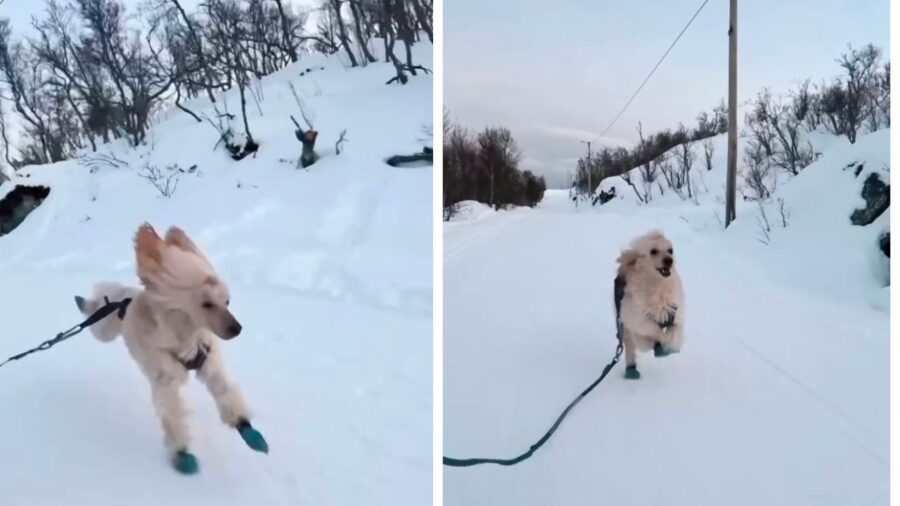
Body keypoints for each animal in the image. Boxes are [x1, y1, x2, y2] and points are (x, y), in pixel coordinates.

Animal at [616, 231, 684, 378]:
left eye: (670, 251)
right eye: (653, 251)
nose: (669, 260)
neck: (658, 288)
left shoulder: (676, 314)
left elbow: (675, 331)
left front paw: (669, 345)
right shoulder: (633, 319)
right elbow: (650, 331)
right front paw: (660, 341)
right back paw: (631, 370)